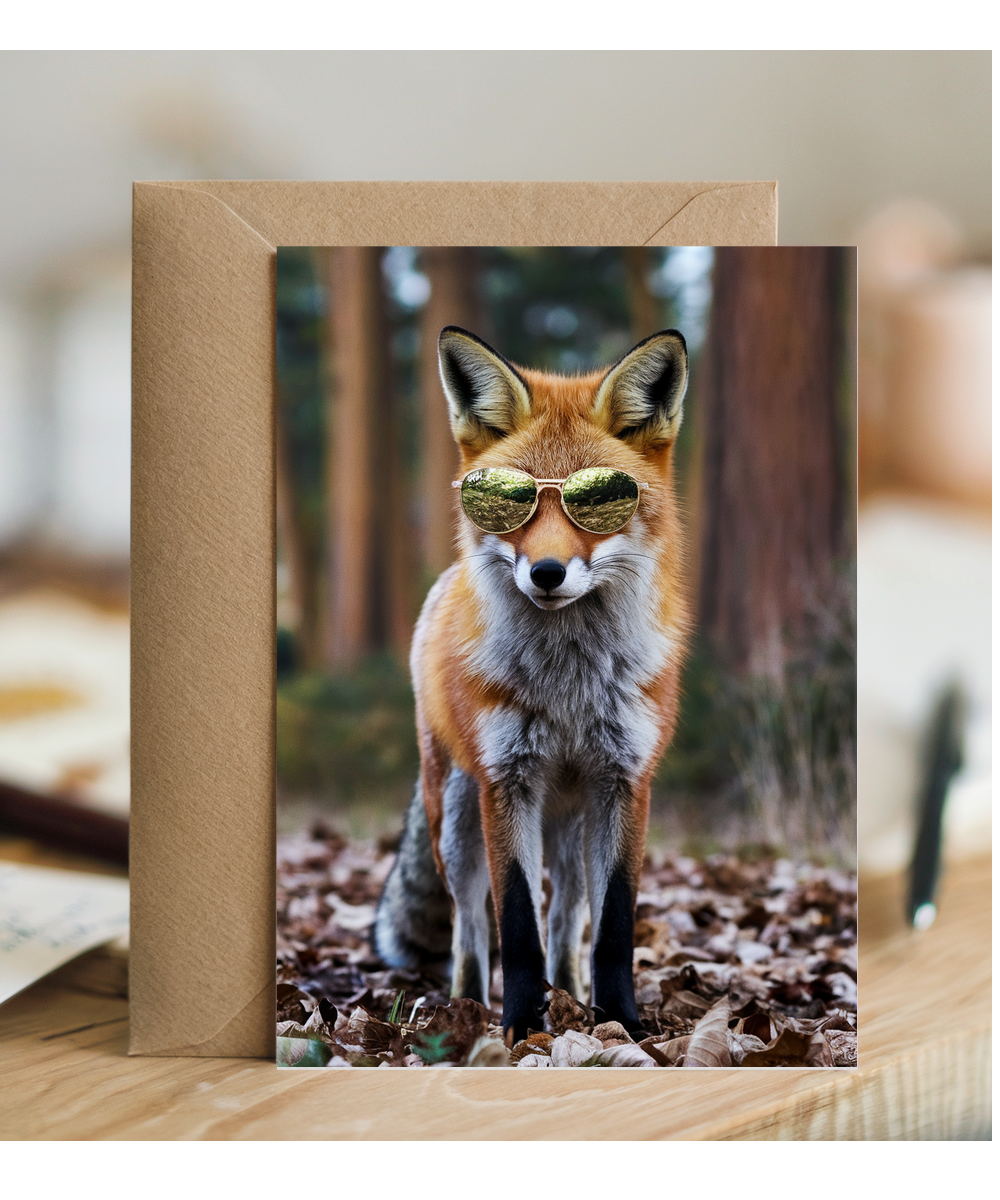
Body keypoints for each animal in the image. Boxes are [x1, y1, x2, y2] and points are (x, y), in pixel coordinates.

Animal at [375, 325, 689, 1045]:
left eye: (600, 501)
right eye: (509, 502)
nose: (547, 572)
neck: (568, 688)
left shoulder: (625, 781)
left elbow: (612, 925)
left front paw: (621, 1022)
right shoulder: (507, 780)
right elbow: (514, 921)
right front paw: (521, 1026)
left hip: (570, 827)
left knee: (568, 918)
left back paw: (571, 994)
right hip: (456, 818)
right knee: (468, 925)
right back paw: (466, 1009)